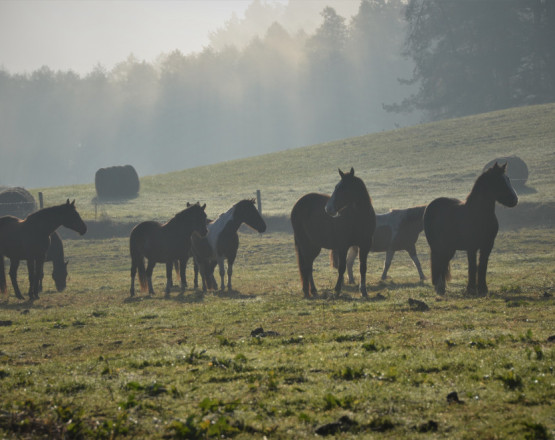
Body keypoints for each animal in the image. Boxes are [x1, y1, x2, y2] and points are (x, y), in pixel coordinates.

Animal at [292, 168, 378, 300]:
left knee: (308, 266)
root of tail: (298, 205)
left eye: (343, 188)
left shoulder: (365, 245)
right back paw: (310, 290)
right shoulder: (343, 246)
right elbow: (342, 268)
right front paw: (337, 291)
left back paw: (312, 291)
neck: (358, 217)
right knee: (307, 266)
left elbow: (363, 267)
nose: (328, 208)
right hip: (306, 245)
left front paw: (363, 291)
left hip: (314, 246)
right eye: (336, 187)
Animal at [426, 162, 520, 296]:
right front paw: (470, 289)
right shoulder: (471, 247)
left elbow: (482, 266)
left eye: (508, 179)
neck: (479, 214)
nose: (515, 200)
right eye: (499, 181)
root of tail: (431, 206)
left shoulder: (487, 245)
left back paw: (442, 288)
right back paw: (440, 288)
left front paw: (483, 289)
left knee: (442, 264)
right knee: (439, 263)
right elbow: (473, 266)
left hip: (449, 248)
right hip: (439, 247)